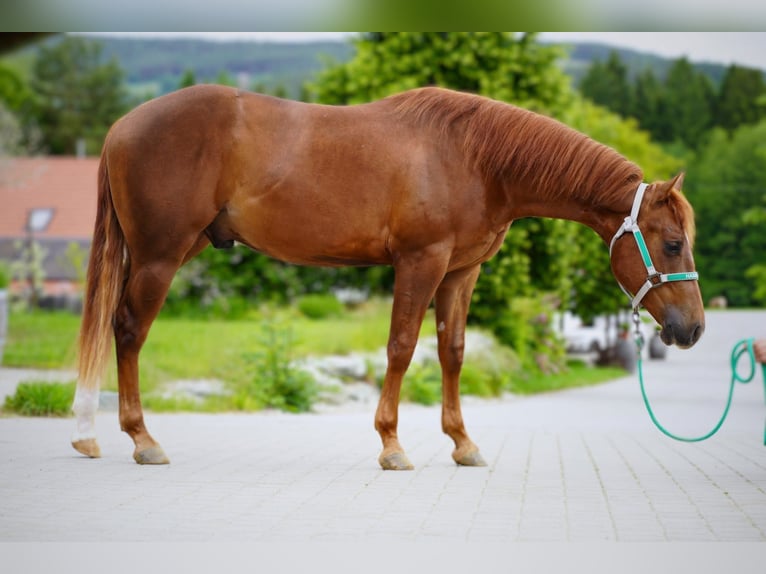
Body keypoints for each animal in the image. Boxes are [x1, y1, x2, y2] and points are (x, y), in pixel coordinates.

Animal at [72, 85, 705, 470]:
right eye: (673, 243)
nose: (693, 329)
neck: (475, 158)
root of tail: (122, 126)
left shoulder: (460, 272)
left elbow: (452, 352)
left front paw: (463, 443)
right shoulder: (420, 262)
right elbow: (401, 347)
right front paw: (392, 445)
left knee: (111, 324)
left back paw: (89, 432)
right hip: (160, 255)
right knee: (127, 330)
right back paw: (142, 440)